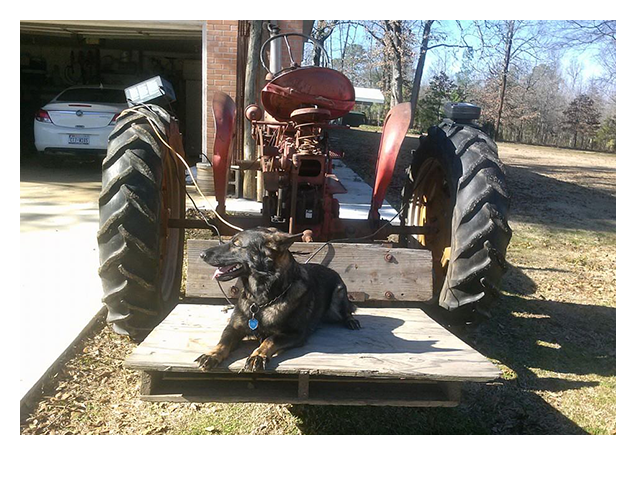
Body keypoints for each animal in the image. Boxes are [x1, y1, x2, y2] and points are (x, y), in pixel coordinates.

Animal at [196, 226, 360, 372]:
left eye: (236, 244)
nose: (201, 254)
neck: (261, 301)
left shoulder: (295, 334)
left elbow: (270, 339)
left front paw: (257, 355)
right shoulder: (233, 328)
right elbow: (223, 342)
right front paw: (212, 355)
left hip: (337, 298)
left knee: (347, 311)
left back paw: (351, 321)